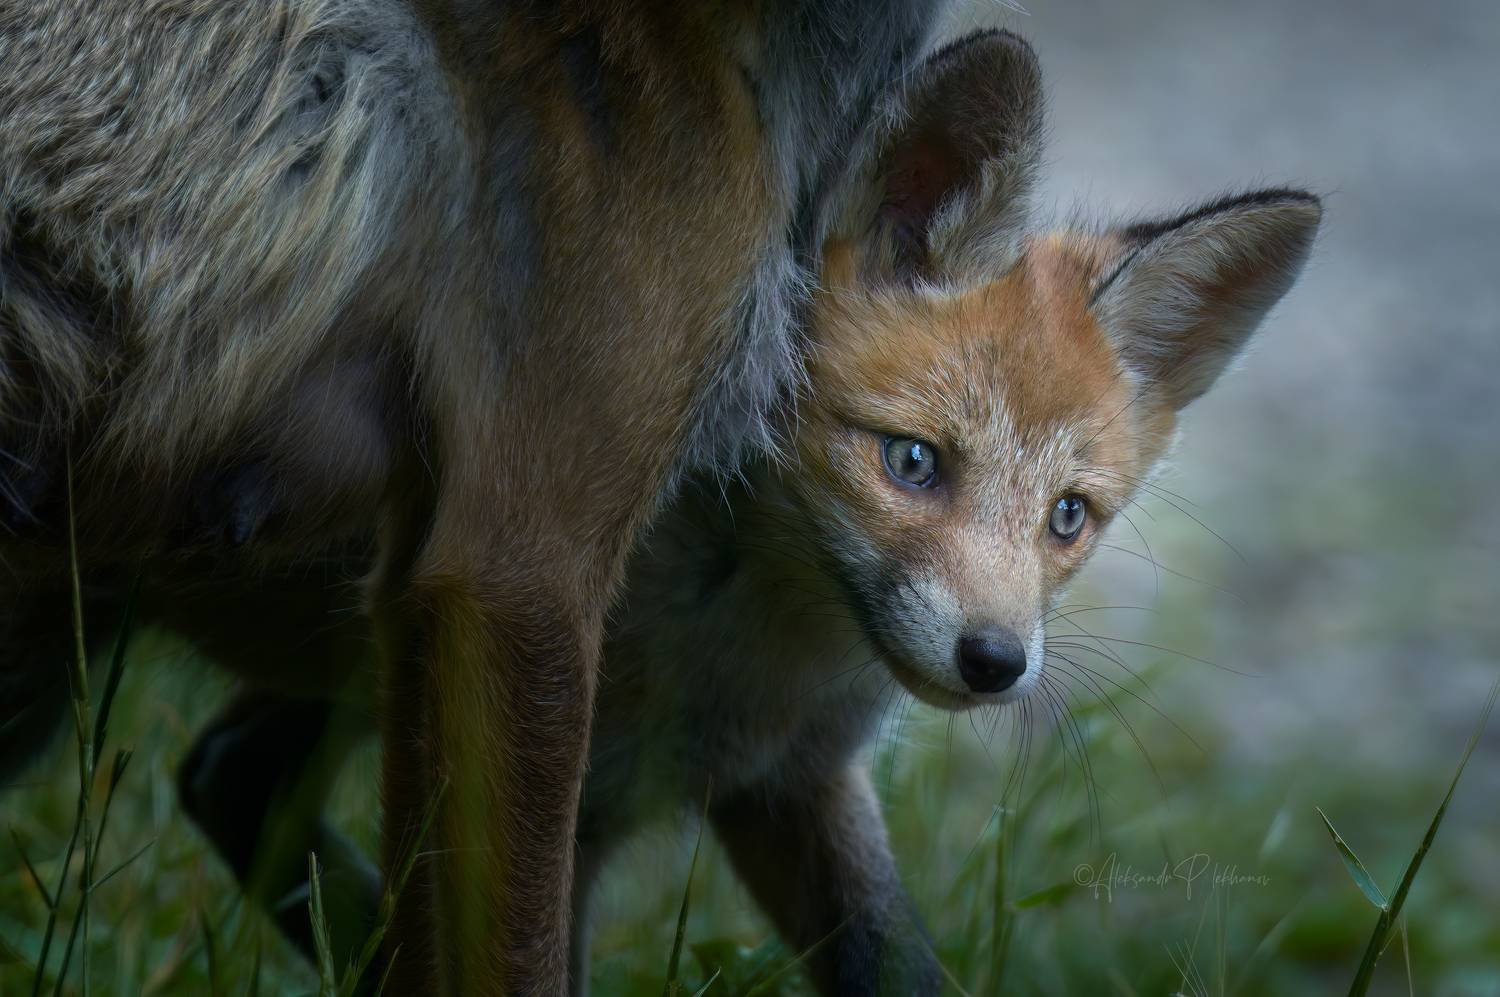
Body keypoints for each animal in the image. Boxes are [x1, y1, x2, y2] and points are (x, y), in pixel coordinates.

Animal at [125, 30, 1317, 995]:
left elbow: (899, 964)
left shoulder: (795, 785)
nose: (994, 662)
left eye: (1069, 517)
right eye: (914, 462)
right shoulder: (566, 791)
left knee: (225, 773)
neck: (747, 664)